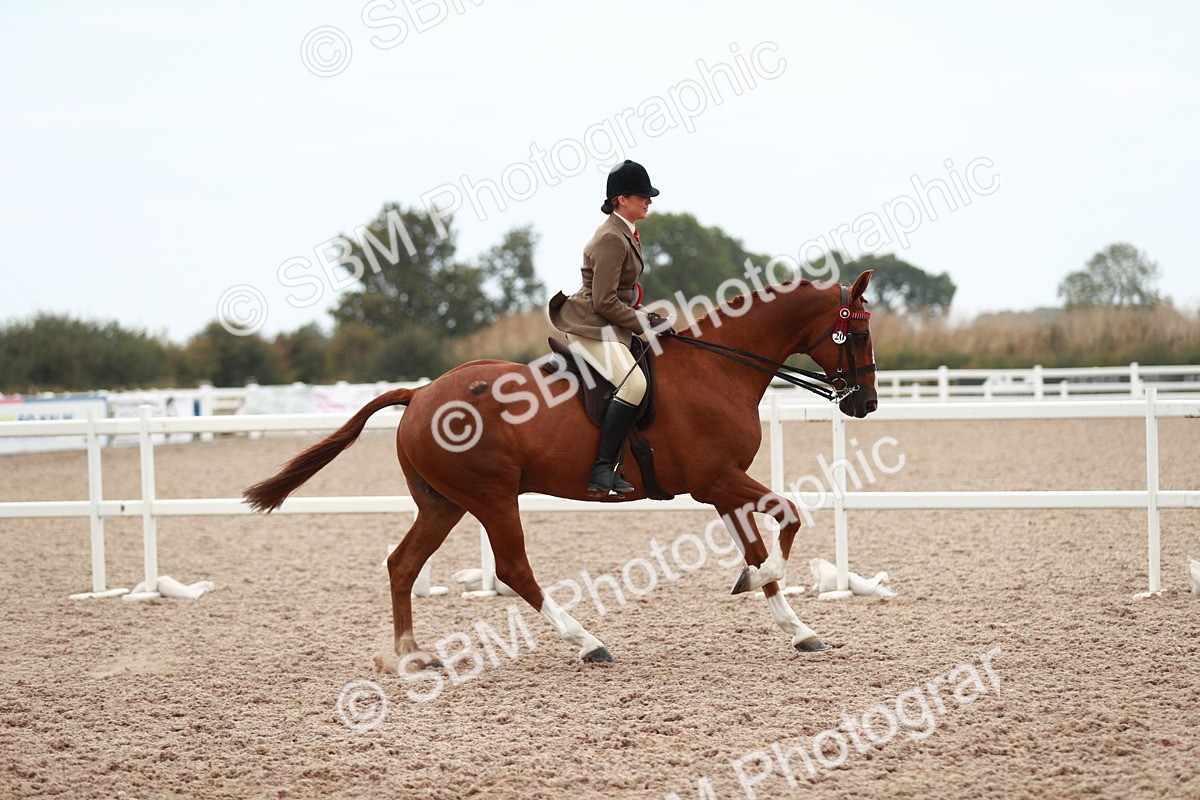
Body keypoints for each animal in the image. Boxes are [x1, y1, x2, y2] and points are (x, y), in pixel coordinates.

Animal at [243, 270, 877, 670]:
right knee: (512, 569)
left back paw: (410, 655)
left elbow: (760, 542)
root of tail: (420, 393)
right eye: (859, 332)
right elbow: (789, 517)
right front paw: (761, 582)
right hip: (491, 496)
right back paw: (588, 643)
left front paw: (796, 626)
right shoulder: (716, 479)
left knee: (403, 565)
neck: (719, 368)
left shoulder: (723, 487)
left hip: (443, 502)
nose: (865, 404)